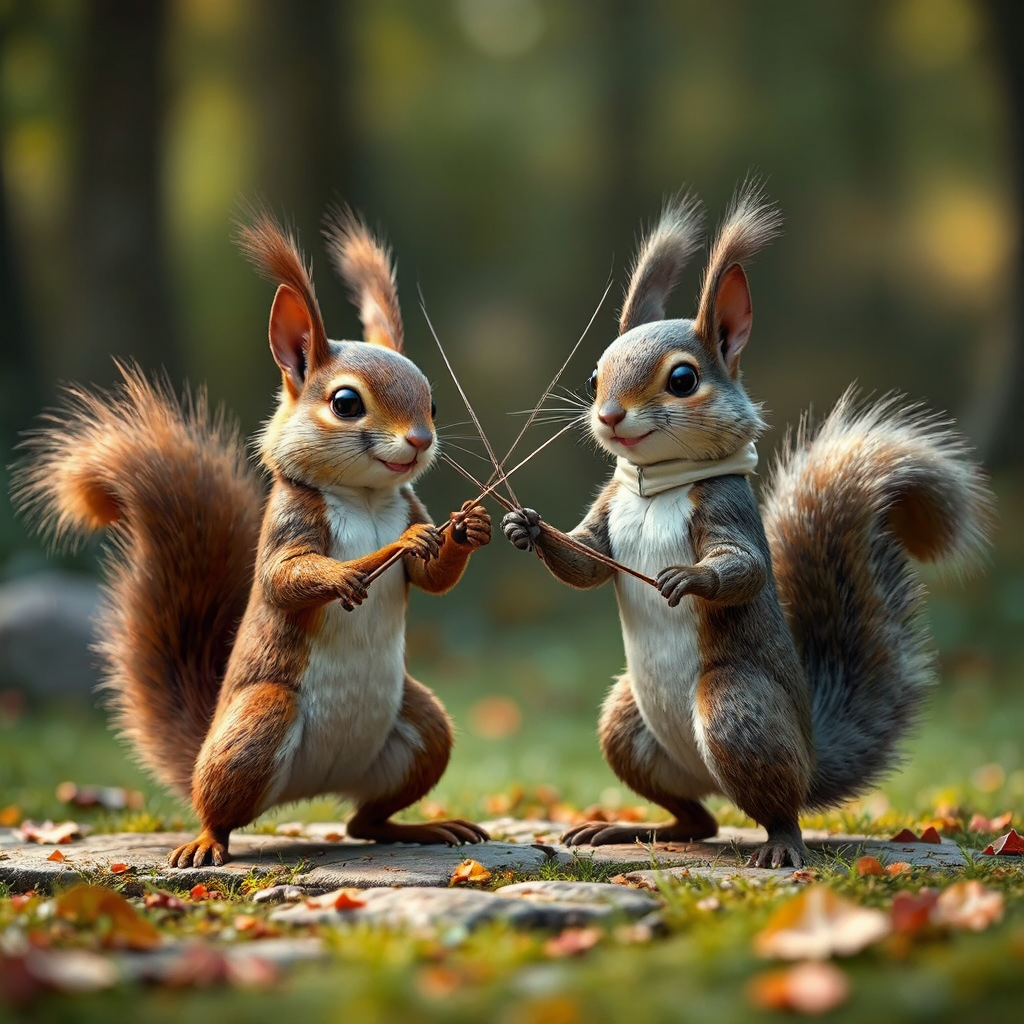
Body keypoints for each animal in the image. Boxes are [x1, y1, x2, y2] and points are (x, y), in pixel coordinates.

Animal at [13, 207, 492, 867]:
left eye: (435, 403)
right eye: (346, 403)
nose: (420, 440)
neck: (367, 499)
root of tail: (310, 790)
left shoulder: (406, 503)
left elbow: (431, 579)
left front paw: (467, 530)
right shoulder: (291, 519)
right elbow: (284, 577)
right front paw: (362, 565)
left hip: (422, 726)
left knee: (365, 821)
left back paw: (421, 828)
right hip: (258, 725)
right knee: (222, 808)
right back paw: (205, 842)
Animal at [501, 185, 995, 868]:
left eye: (684, 379)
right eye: (593, 376)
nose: (608, 415)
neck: (656, 486)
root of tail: (809, 757)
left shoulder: (726, 510)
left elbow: (744, 567)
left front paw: (688, 579)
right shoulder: (608, 511)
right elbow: (585, 559)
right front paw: (528, 528)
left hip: (737, 714)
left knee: (774, 809)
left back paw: (781, 845)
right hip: (627, 725)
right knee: (698, 819)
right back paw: (628, 829)